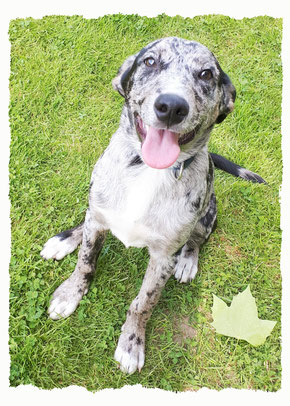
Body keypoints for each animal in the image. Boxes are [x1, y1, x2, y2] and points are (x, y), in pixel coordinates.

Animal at [40, 37, 266, 374]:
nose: (171, 106)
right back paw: (65, 239)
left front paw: (132, 343)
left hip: (208, 214)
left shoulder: (162, 258)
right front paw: (70, 293)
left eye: (206, 74)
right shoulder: (98, 220)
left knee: (196, 240)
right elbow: (86, 263)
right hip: (96, 207)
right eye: (149, 61)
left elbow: (143, 303)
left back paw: (188, 261)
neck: (147, 171)